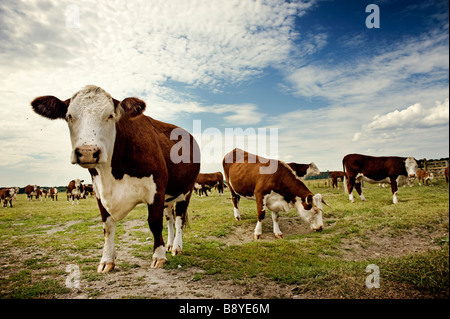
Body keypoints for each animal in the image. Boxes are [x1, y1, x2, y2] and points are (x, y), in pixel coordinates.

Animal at [30, 85, 200, 276]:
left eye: (110, 115)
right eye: (69, 116)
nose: (88, 151)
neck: (113, 174)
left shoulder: (156, 190)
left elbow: (154, 223)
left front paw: (159, 256)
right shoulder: (99, 192)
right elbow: (108, 226)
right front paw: (107, 260)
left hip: (186, 190)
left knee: (178, 218)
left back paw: (176, 247)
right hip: (169, 196)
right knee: (170, 218)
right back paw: (169, 244)